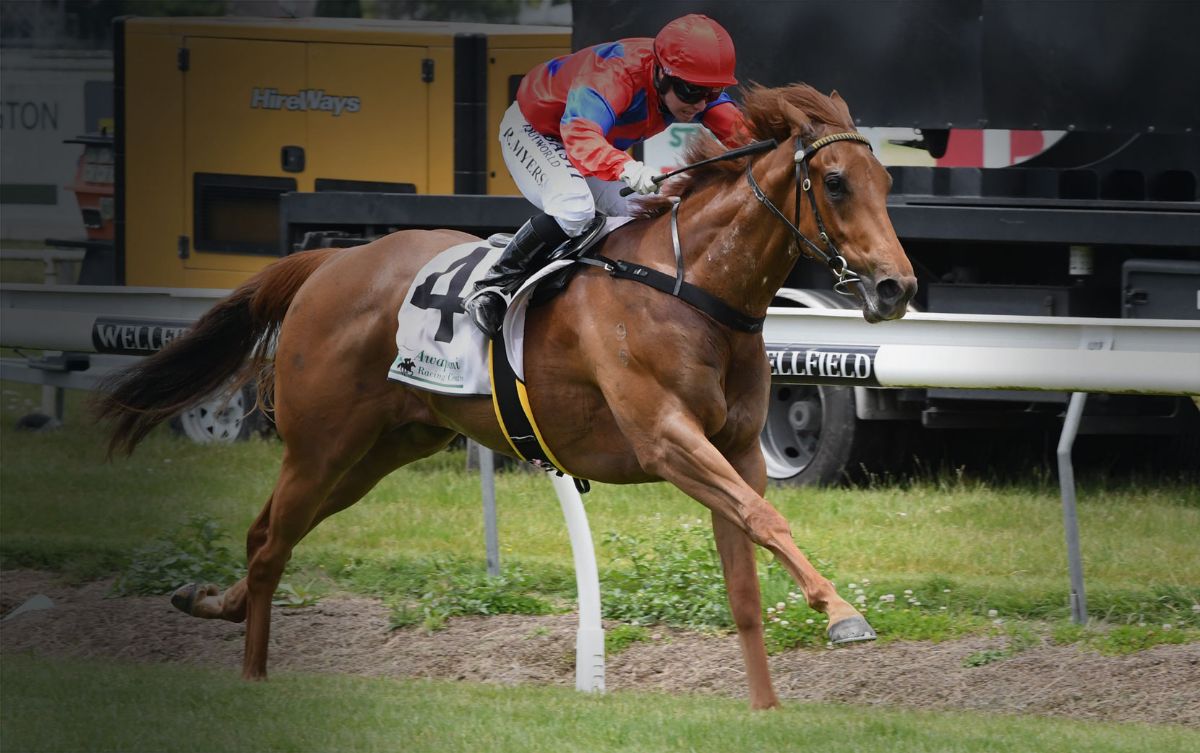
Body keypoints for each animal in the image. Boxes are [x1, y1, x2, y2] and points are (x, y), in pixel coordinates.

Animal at [96, 83, 916, 710]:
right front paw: (843, 614)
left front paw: (767, 708)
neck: (692, 287)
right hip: (321, 443)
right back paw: (253, 674)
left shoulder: (737, 450)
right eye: (835, 182)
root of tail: (330, 262)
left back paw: (210, 601)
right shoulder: (666, 438)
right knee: (271, 545)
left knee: (269, 531)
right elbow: (767, 519)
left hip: (374, 453)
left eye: (887, 185)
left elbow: (747, 567)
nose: (896, 287)